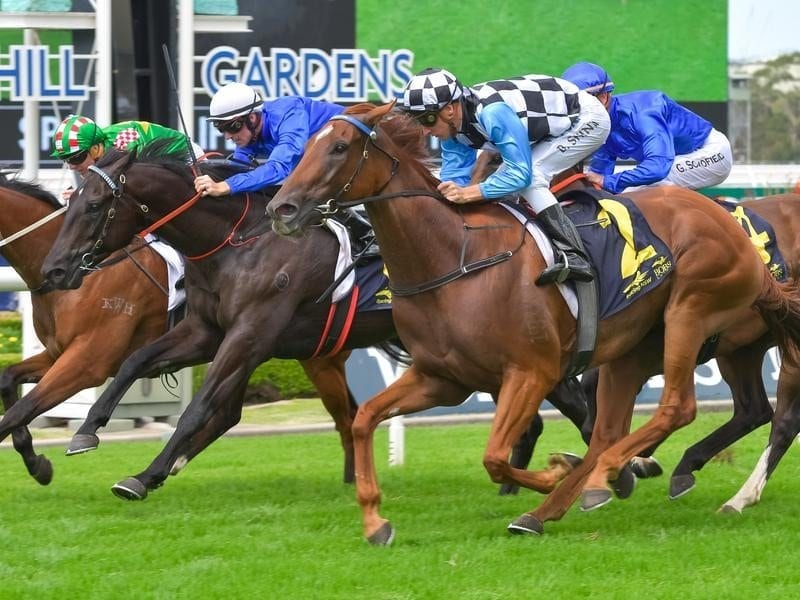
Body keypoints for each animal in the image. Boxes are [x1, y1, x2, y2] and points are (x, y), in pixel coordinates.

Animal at [264, 104, 800, 544]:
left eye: (337, 147)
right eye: (305, 146)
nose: (280, 208)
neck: (456, 258)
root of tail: (734, 230)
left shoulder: (532, 371)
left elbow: (494, 456)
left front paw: (552, 472)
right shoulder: (442, 378)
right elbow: (364, 419)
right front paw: (376, 521)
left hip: (690, 311)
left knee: (679, 408)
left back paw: (618, 478)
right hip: (639, 347)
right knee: (617, 429)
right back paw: (559, 504)